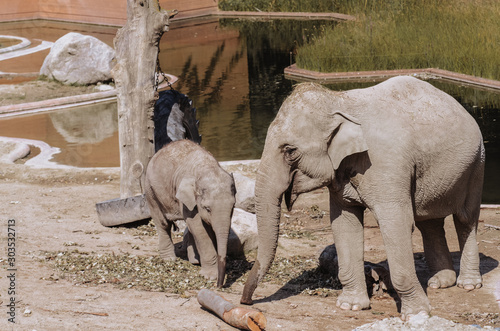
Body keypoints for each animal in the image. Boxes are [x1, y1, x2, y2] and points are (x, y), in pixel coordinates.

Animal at [145, 139, 236, 286]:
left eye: (233, 207)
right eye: (207, 209)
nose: (219, 285)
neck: (207, 167)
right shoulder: (186, 197)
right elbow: (200, 229)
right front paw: (210, 276)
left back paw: (195, 260)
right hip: (150, 191)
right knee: (163, 224)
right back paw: (169, 260)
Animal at [242, 76, 484, 320]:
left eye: (289, 151)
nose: (247, 302)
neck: (339, 100)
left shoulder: (386, 165)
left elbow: (397, 224)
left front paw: (417, 315)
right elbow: (344, 224)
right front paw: (350, 306)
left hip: (476, 164)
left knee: (465, 219)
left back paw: (468, 284)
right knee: (430, 222)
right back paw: (440, 282)